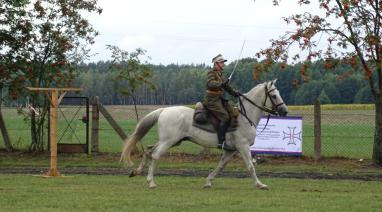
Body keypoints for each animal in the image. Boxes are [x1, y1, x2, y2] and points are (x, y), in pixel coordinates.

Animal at [121, 79, 288, 189]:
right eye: (274, 95)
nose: (284, 111)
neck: (244, 117)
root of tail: (164, 110)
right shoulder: (243, 147)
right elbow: (250, 166)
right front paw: (260, 184)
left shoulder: (230, 150)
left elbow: (220, 166)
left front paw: (208, 181)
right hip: (168, 142)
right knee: (155, 155)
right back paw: (151, 182)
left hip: (172, 141)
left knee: (148, 150)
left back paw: (136, 172)